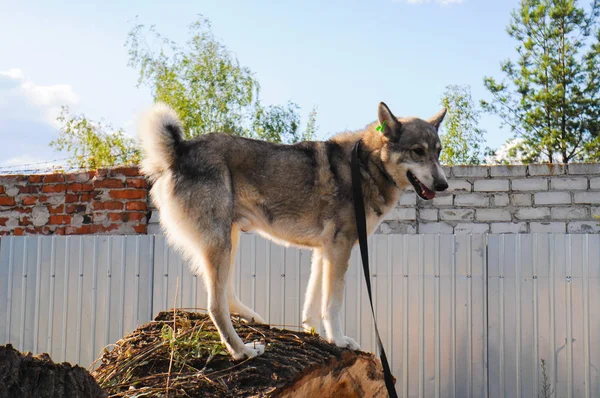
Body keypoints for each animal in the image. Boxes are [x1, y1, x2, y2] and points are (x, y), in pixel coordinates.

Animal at [138, 101, 448, 360]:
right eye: (418, 151)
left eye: (438, 152)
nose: (443, 184)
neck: (366, 164)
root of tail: (180, 149)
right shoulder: (341, 248)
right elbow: (332, 303)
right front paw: (339, 340)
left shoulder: (325, 251)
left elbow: (313, 302)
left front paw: (318, 335)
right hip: (220, 244)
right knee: (215, 306)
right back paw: (242, 351)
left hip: (229, 240)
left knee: (226, 294)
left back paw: (253, 319)